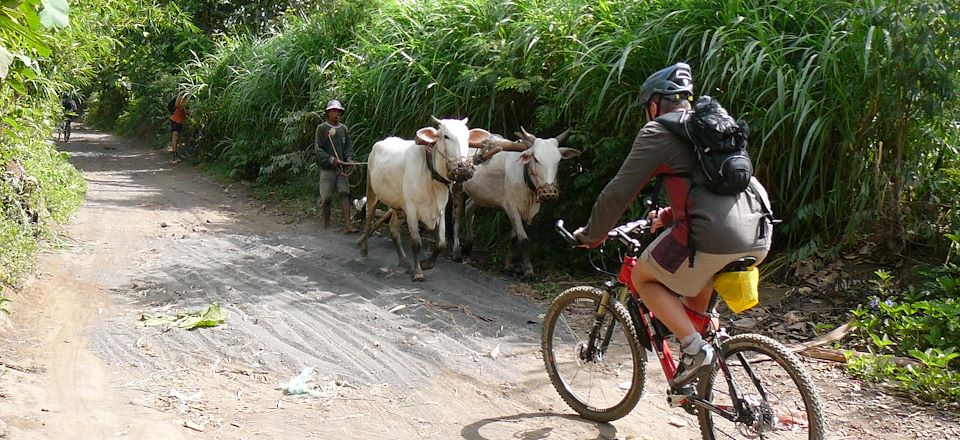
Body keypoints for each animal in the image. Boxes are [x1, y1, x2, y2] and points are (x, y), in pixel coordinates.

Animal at [356, 117, 492, 282]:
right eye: (446, 136)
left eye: (467, 139)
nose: (464, 169)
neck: (430, 174)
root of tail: (379, 144)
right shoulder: (412, 210)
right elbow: (416, 243)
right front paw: (418, 272)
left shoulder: (440, 210)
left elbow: (441, 243)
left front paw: (427, 264)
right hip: (372, 191)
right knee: (369, 219)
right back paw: (363, 250)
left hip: (397, 205)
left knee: (393, 229)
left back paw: (404, 261)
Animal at [456, 127, 576, 278]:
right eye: (536, 159)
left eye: (558, 160)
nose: (549, 192)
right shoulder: (512, 208)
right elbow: (523, 239)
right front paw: (529, 272)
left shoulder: (523, 210)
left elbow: (514, 238)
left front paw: (508, 266)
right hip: (456, 185)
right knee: (456, 214)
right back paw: (455, 250)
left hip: (480, 194)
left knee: (469, 208)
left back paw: (467, 246)